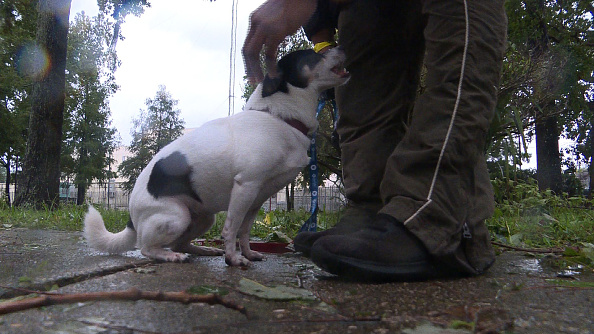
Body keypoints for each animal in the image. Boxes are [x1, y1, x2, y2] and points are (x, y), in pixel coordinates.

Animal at [85, 47, 350, 266]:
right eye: (314, 54)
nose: (340, 45)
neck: (279, 117)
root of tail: (131, 217)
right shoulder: (246, 186)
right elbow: (232, 229)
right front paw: (234, 259)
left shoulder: (257, 198)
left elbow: (245, 230)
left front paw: (248, 253)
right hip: (177, 217)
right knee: (147, 248)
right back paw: (171, 256)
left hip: (204, 219)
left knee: (179, 242)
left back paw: (203, 250)